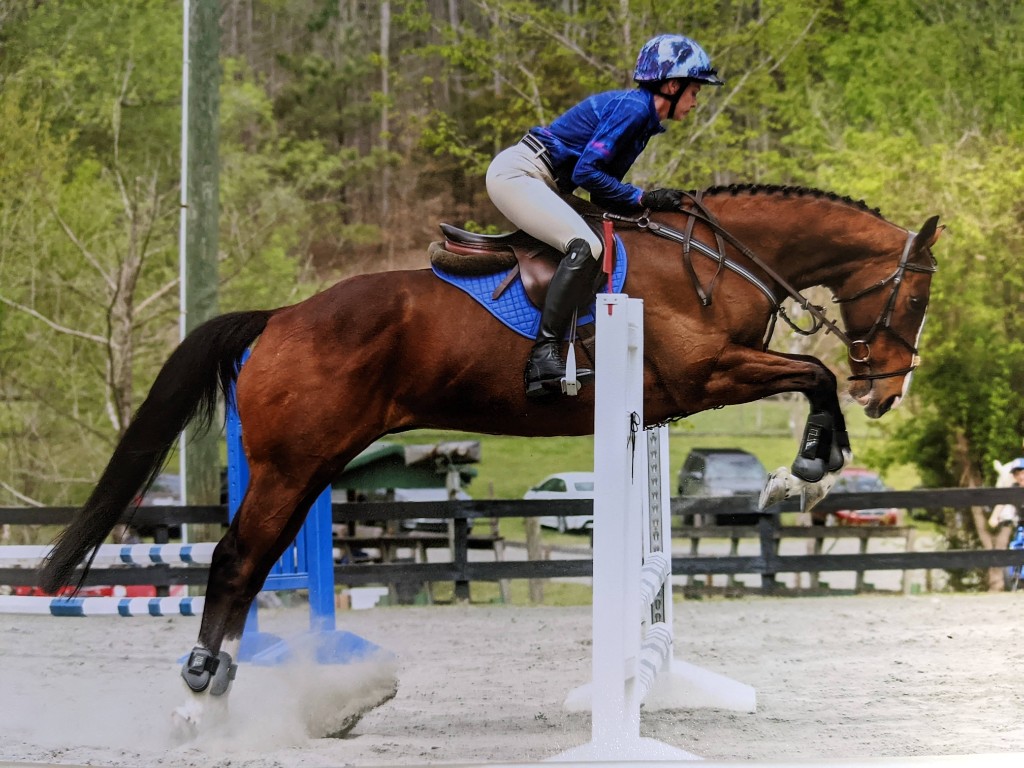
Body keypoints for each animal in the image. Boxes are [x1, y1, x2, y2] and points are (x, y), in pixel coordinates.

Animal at [38, 183, 941, 733]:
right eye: (915, 293)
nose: (888, 391)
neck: (714, 259)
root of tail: (282, 317)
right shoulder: (704, 374)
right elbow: (813, 371)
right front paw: (814, 465)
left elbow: (809, 373)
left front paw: (811, 464)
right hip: (293, 466)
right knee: (233, 559)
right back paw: (201, 692)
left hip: (313, 468)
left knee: (253, 563)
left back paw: (250, 688)